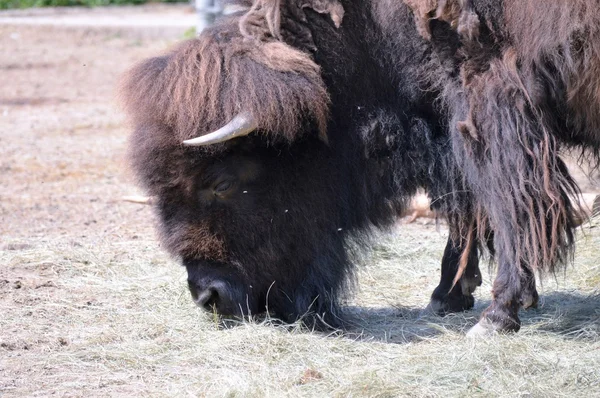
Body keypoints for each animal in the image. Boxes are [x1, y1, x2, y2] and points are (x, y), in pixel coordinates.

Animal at [120, 0, 596, 334]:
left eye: (219, 182)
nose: (209, 296)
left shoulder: (489, 102)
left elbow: (506, 200)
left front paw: (496, 316)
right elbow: (467, 203)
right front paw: (448, 297)